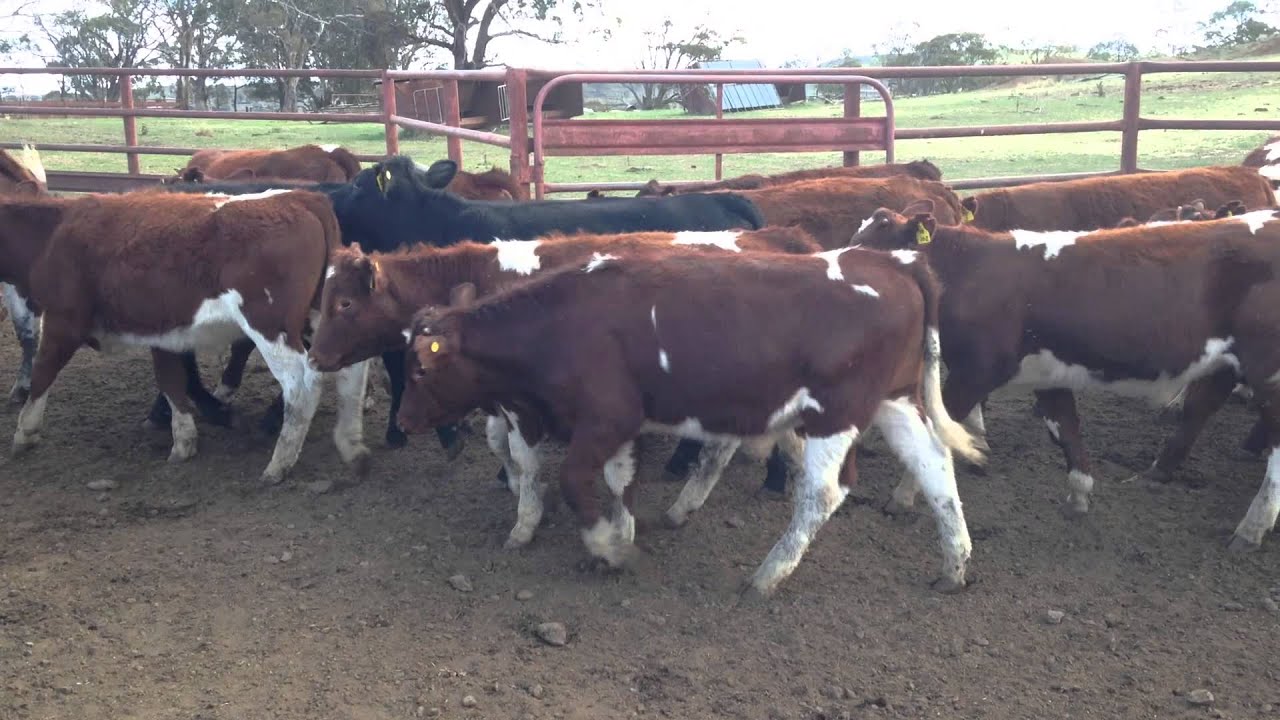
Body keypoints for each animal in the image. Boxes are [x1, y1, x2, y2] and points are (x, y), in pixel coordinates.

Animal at [0, 189, 370, 485]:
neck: (51, 233)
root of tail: (301, 198)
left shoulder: (63, 321)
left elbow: (42, 373)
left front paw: (24, 433)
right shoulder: (161, 333)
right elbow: (171, 379)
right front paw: (184, 439)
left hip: (270, 327)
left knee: (301, 384)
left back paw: (280, 463)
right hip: (325, 318)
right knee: (351, 370)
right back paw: (351, 445)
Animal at [309, 228, 823, 546]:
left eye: (345, 303)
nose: (314, 357)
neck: (486, 278)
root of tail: (782, 238)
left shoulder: (517, 401)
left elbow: (522, 454)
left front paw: (526, 511)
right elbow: (502, 446)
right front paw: (517, 486)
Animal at [395, 247, 985, 599]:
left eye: (420, 368)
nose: (402, 420)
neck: (563, 323)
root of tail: (889, 260)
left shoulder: (605, 418)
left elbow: (574, 481)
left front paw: (609, 547)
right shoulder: (619, 427)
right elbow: (621, 482)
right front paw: (623, 533)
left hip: (835, 416)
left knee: (823, 494)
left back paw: (767, 576)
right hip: (896, 402)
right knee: (935, 467)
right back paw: (953, 566)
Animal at [851, 201, 1280, 552]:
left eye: (877, 244)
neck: (971, 270)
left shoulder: (975, 371)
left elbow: (935, 438)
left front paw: (901, 497)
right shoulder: (1048, 374)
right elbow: (1066, 429)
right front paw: (1079, 495)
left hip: (1268, 373)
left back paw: (1251, 528)